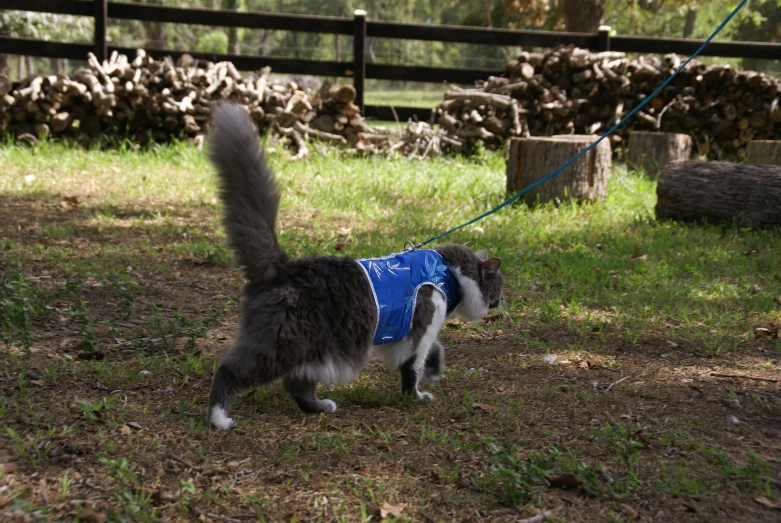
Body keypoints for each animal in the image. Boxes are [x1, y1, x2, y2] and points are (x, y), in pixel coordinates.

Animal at [204, 102, 502, 430]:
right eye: (498, 287)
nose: (501, 303)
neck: (446, 271)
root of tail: (282, 267)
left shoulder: (407, 335)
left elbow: (434, 350)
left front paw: (435, 371)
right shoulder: (420, 328)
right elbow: (412, 369)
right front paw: (417, 396)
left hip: (312, 350)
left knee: (297, 386)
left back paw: (322, 407)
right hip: (281, 343)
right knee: (230, 370)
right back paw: (219, 419)